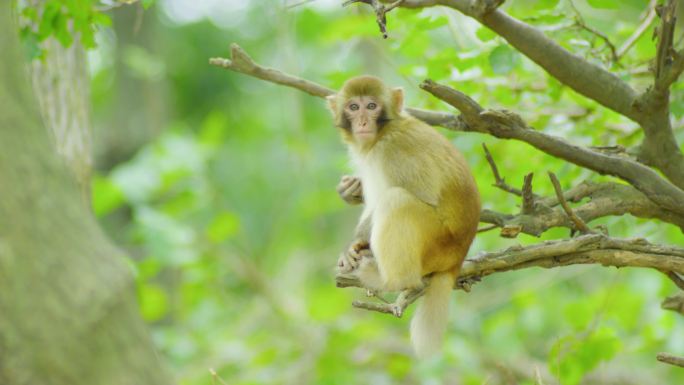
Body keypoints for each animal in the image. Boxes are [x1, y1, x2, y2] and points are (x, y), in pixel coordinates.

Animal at [328, 75, 480, 356]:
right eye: (354, 107)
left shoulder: (395, 152)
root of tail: (456, 260)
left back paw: (392, 280)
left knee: (396, 200)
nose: (363, 122)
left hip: (436, 245)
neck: (384, 132)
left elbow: (418, 195)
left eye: (372, 106)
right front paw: (353, 247)